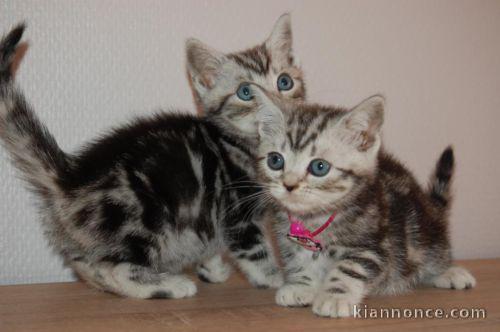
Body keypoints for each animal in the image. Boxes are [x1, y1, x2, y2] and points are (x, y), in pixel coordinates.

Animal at [250, 86, 476, 320]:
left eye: (319, 167)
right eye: (275, 160)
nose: (289, 185)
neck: (313, 220)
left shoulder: (376, 245)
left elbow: (349, 267)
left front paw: (334, 296)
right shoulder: (287, 240)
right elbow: (297, 260)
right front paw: (302, 285)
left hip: (423, 234)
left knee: (434, 253)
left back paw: (449, 272)